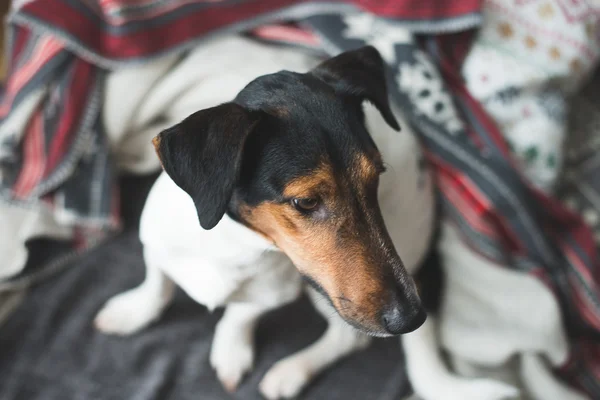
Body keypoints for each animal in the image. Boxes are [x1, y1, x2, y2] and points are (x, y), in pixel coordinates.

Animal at [96, 36, 516, 396]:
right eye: (306, 202)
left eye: (376, 177)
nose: (412, 319)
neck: (233, 243)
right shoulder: (155, 244)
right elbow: (157, 284)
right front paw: (133, 313)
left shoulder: (273, 293)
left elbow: (239, 315)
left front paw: (231, 351)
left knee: (348, 337)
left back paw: (292, 372)